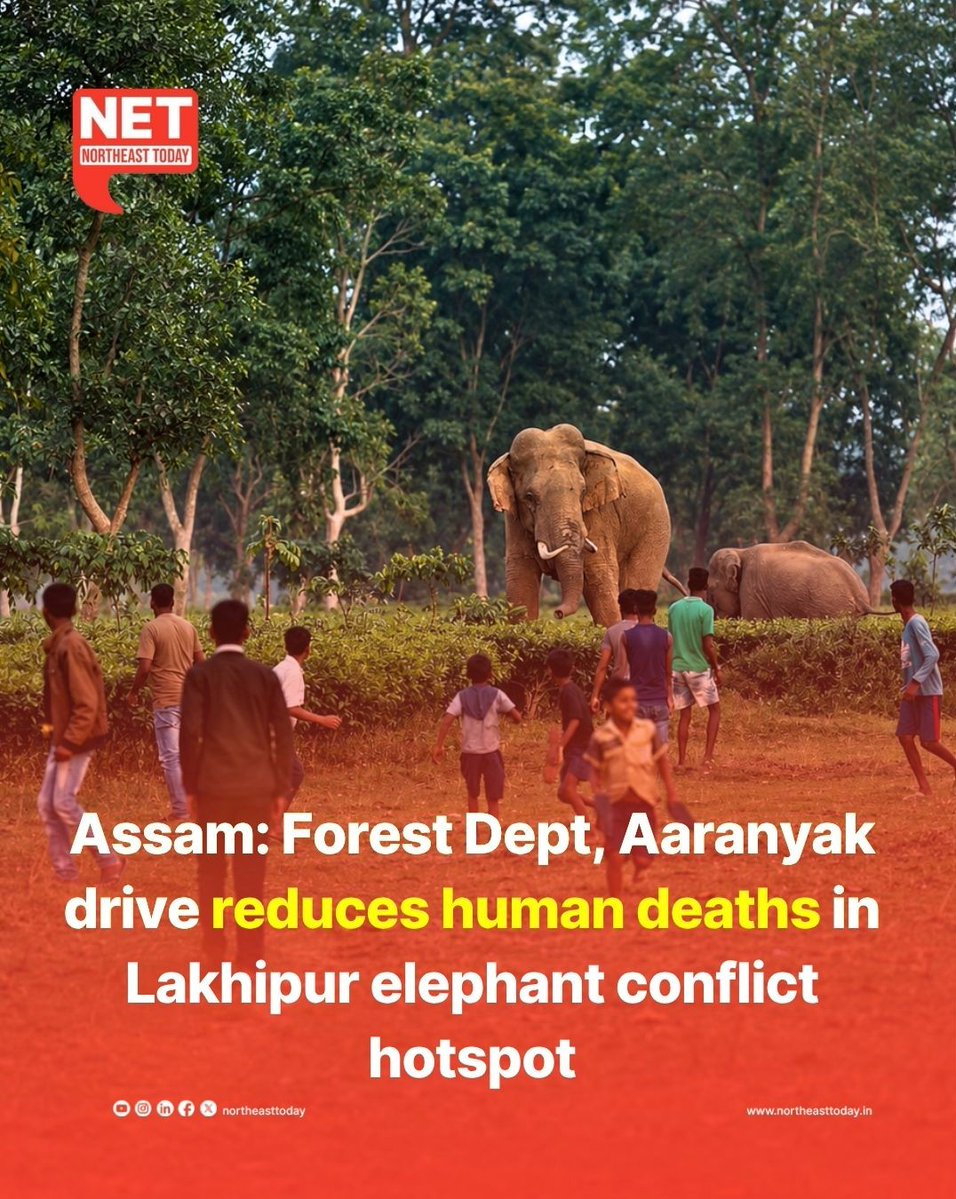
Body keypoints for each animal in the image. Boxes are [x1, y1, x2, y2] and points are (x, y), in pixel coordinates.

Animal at [486, 423, 684, 626]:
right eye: (529, 497)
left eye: (583, 492)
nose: (557, 613)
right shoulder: (514, 520)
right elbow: (520, 579)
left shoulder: (598, 513)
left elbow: (598, 573)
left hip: (656, 527)